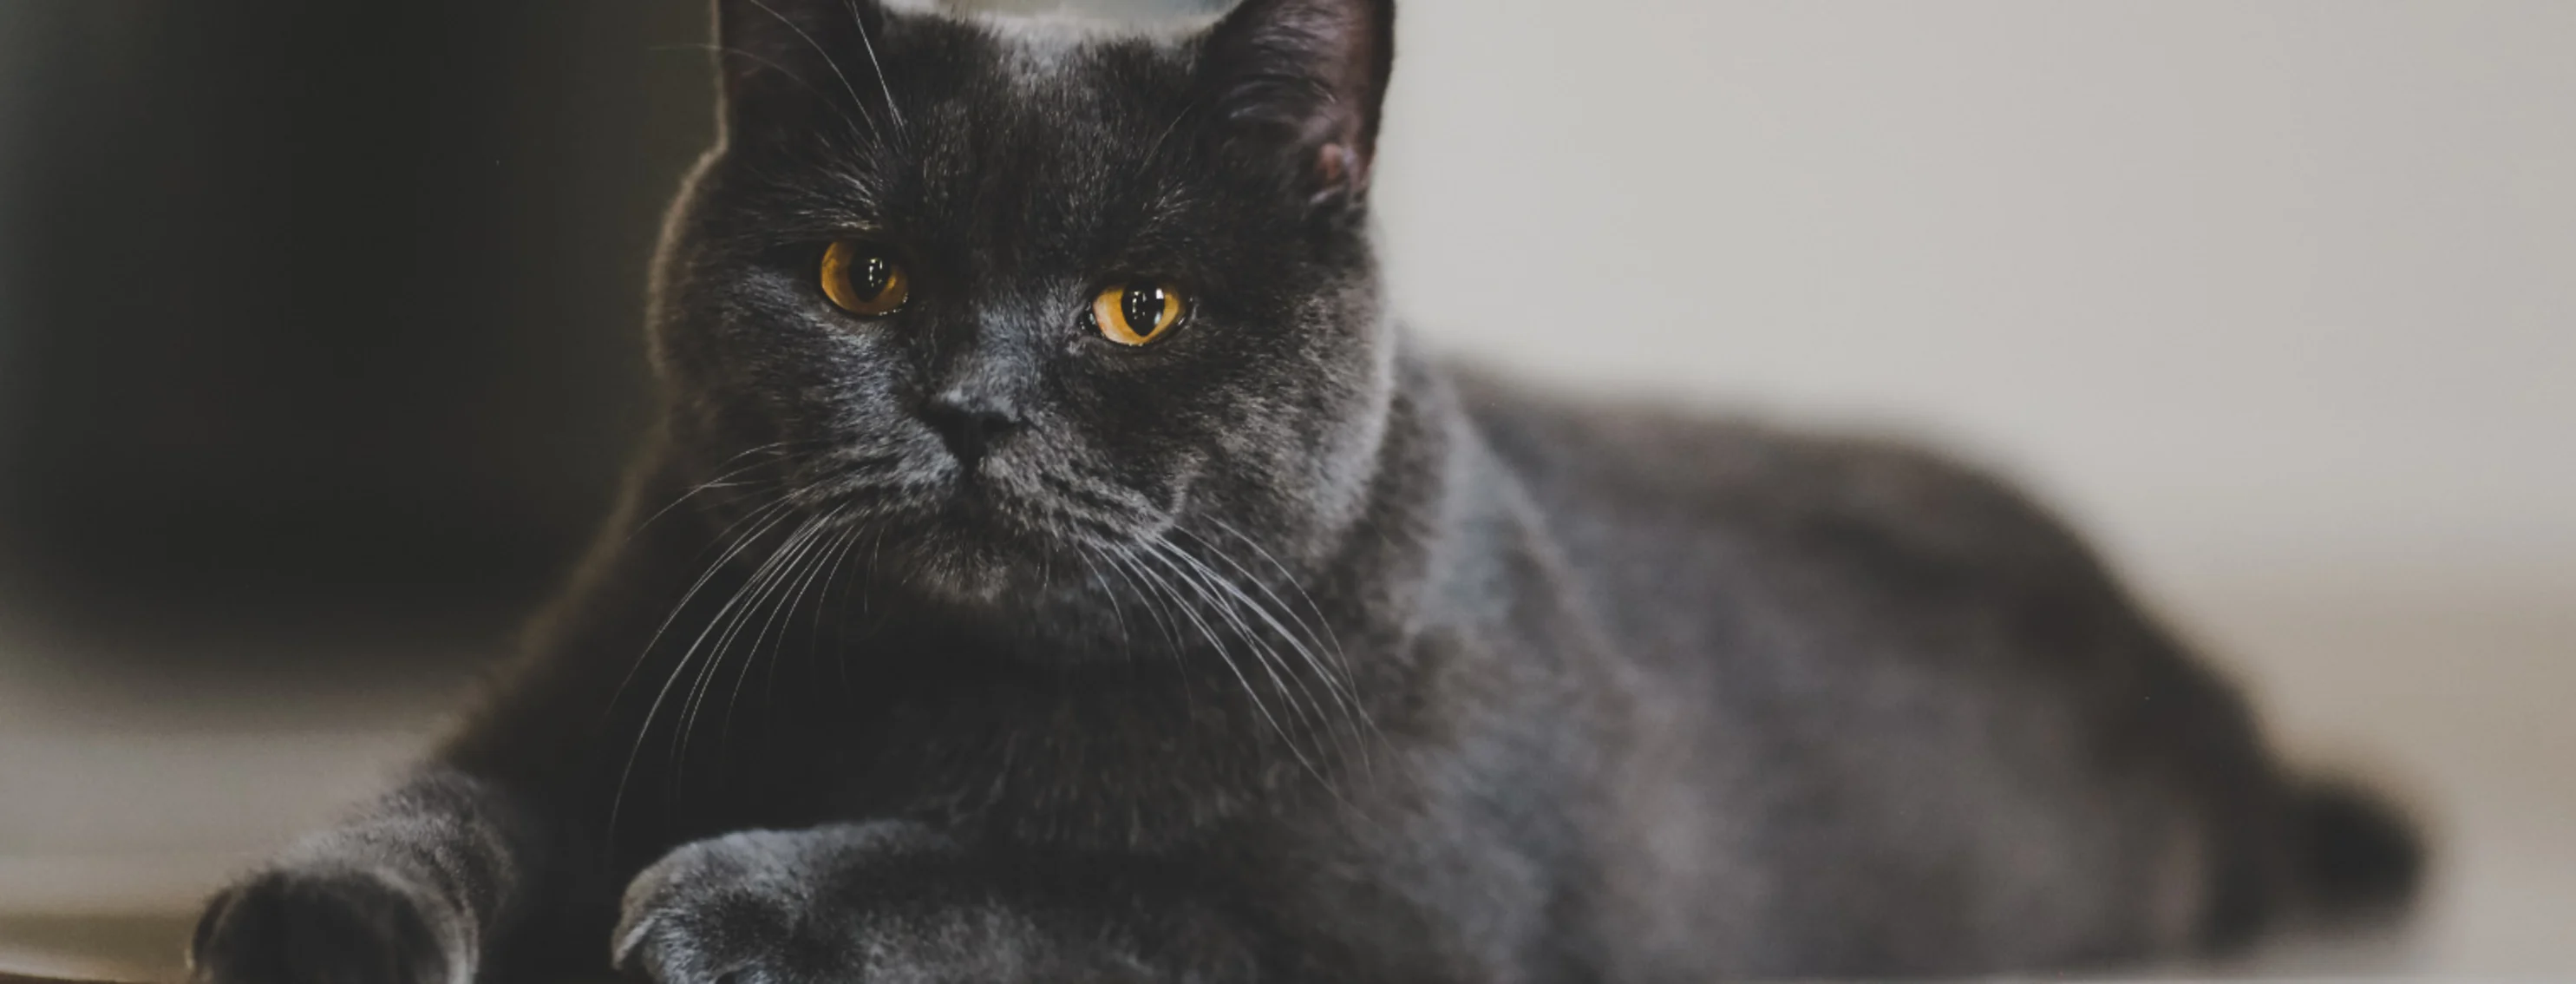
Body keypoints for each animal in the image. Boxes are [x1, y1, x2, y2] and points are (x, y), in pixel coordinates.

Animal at [181, 2, 2410, 984]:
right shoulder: (585, 690)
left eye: (1140, 306)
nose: (972, 406)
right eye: (860, 277)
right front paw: (315, 914)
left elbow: (1035, 882)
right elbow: (442, 801)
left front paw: (733, 902)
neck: (906, 690)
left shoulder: (1381, 940)